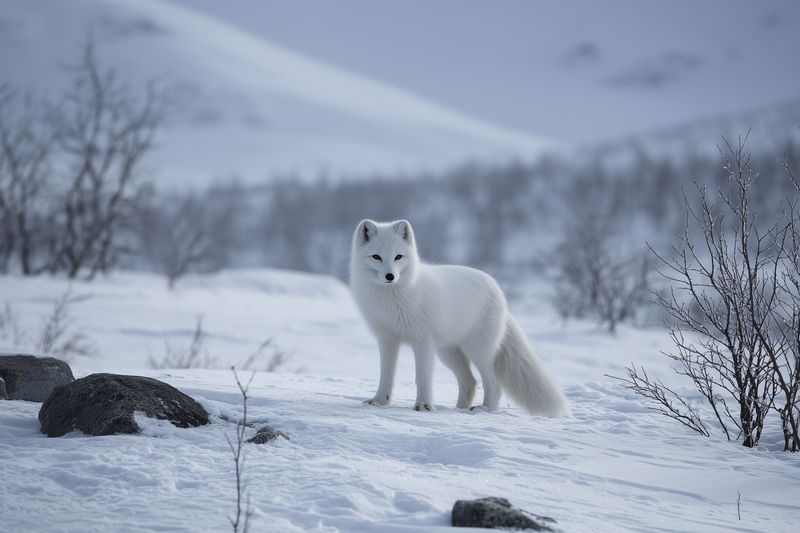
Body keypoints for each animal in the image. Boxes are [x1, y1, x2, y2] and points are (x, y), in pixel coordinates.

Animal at [349, 218, 570, 416]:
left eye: (398, 257)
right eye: (376, 257)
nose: (390, 276)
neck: (392, 298)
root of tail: (497, 289)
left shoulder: (422, 341)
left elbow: (422, 377)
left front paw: (424, 405)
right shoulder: (387, 339)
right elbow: (386, 376)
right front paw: (379, 401)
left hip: (478, 351)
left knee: (493, 383)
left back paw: (484, 409)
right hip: (449, 352)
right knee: (470, 381)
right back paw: (459, 409)